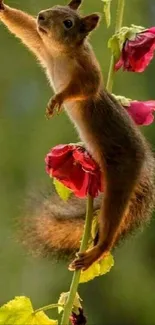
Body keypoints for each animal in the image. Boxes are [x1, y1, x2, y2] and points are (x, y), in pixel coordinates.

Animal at [0, 0, 154, 270]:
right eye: (54, 7)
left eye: (68, 23)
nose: (42, 16)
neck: (60, 52)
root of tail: (144, 158)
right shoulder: (41, 45)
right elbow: (24, 27)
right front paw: (3, 8)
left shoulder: (88, 70)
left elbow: (87, 88)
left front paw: (58, 99)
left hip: (121, 175)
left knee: (112, 219)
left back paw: (96, 252)